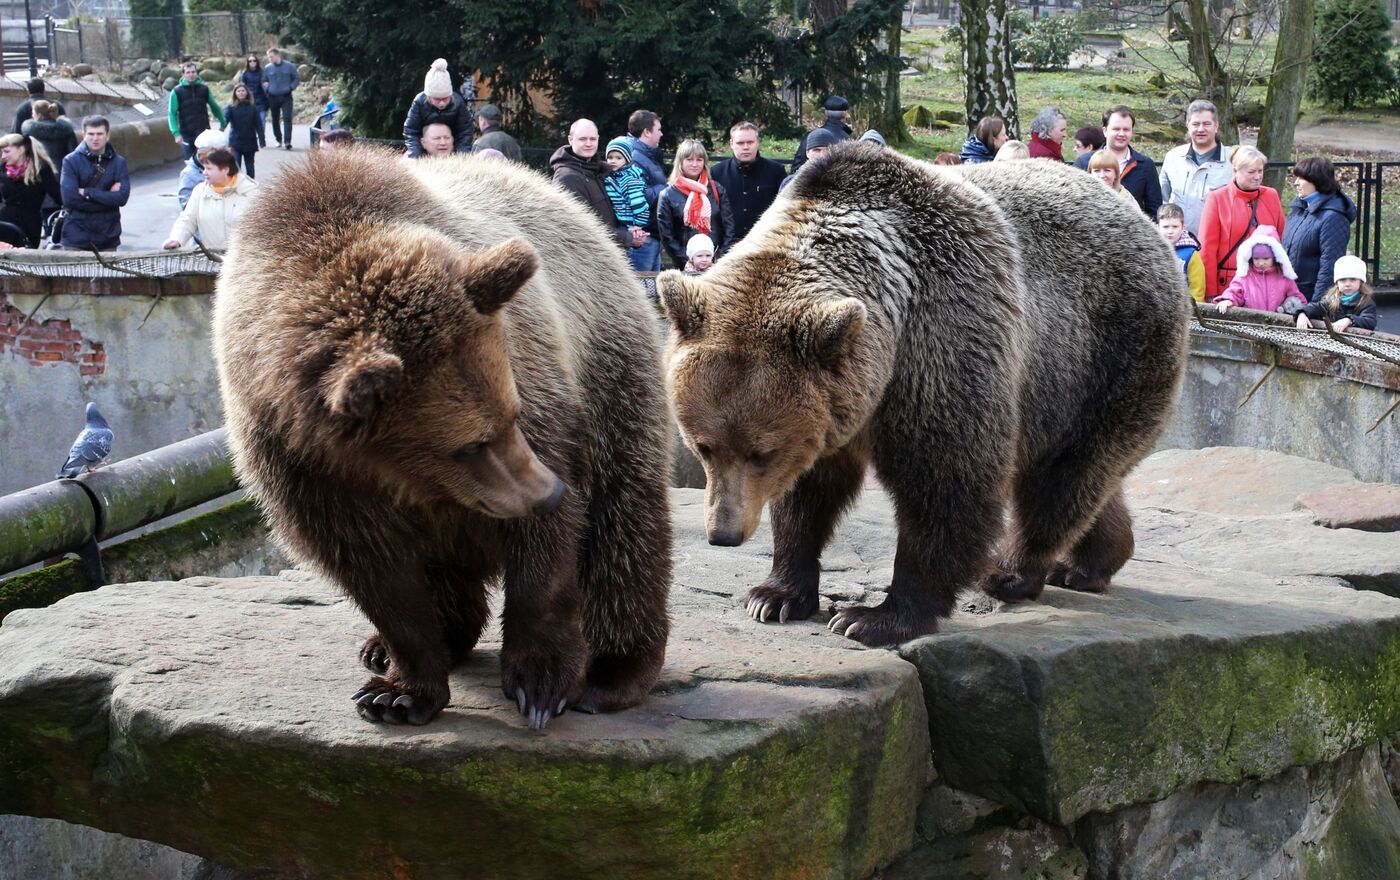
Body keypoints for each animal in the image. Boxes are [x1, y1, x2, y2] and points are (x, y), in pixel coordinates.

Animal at [212, 151, 672, 727]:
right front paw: (397, 691)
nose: (547, 494)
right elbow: (378, 576)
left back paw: (614, 670)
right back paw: (401, 644)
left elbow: (548, 550)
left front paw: (541, 682)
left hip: (609, 368)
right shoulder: (301, 462)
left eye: (512, 415)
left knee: (623, 523)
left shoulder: (537, 379)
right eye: (469, 444)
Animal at [660, 144, 1187, 646]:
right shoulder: (837, 405)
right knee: (1085, 480)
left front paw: (874, 617)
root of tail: (1149, 230)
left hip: (1107, 355)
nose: (723, 534)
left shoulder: (945, 339)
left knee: (1064, 481)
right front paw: (775, 595)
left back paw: (1012, 573)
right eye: (703, 447)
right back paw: (1088, 564)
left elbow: (946, 484)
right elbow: (809, 494)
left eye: (761, 452)